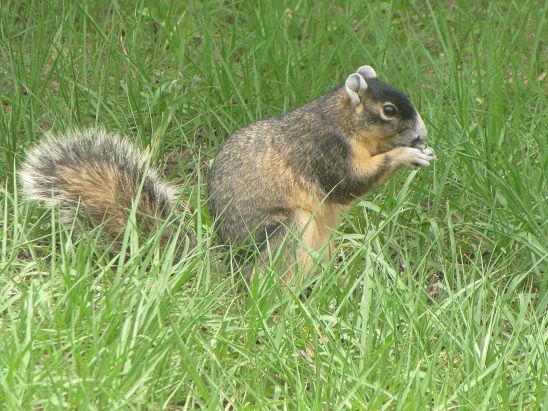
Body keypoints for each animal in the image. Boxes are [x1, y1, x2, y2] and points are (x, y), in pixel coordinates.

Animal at [18, 66, 436, 282]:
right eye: (388, 111)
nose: (422, 133)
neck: (343, 119)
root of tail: (233, 268)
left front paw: (423, 151)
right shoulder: (325, 150)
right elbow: (350, 184)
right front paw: (407, 155)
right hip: (288, 234)